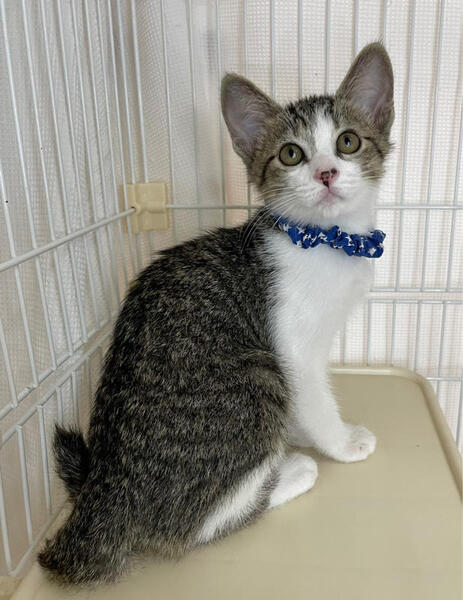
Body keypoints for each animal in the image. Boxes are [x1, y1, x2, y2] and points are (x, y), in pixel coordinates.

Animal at [38, 42, 393, 586]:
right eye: (292, 154)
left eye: (348, 142)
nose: (326, 173)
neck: (324, 241)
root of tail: (106, 493)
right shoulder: (292, 348)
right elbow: (313, 399)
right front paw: (338, 443)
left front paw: (300, 434)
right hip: (256, 377)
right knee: (186, 527)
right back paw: (289, 473)